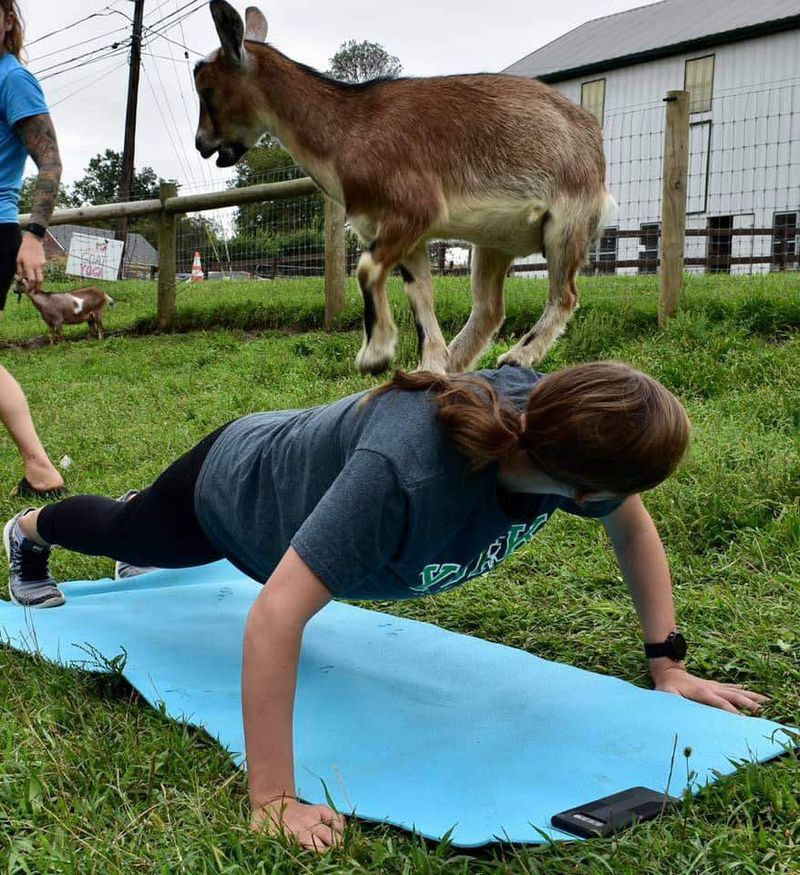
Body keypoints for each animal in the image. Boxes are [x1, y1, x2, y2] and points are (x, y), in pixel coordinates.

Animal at [195, 1, 616, 375]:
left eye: (208, 89)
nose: (202, 144)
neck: (347, 131)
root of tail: (589, 132)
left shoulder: (411, 211)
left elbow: (365, 269)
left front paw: (376, 355)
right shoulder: (406, 234)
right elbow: (419, 295)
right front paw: (429, 366)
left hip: (566, 223)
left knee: (564, 295)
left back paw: (518, 356)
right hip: (492, 242)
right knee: (489, 309)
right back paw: (457, 361)